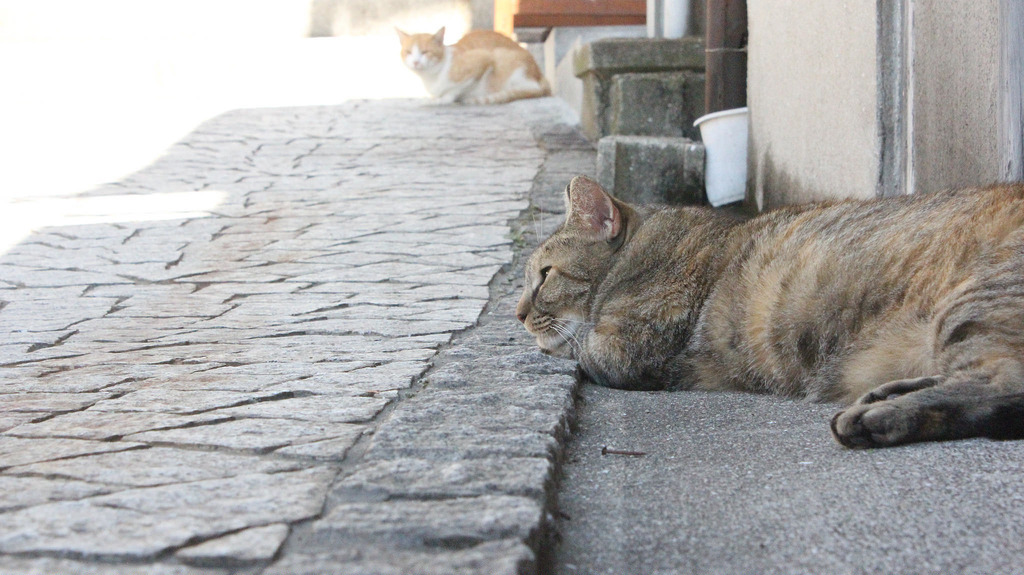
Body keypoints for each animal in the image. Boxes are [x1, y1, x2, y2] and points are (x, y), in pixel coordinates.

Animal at [393, 26, 552, 103]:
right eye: (408, 52)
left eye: (425, 52)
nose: (416, 61)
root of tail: (540, 73)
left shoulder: (483, 58)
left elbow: (455, 90)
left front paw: (444, 99)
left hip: (503, 59)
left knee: (530, 89)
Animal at [516, 174, 1024, 448]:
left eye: (544, 275)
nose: (518, 314)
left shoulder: (627, 347)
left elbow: (577, 346)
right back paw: (886, 395)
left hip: (973, 305)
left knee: (1004, 384)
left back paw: (876, 418)